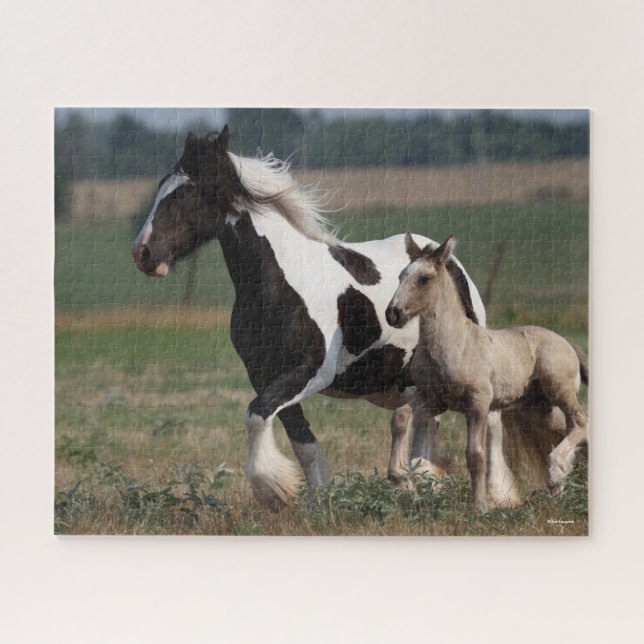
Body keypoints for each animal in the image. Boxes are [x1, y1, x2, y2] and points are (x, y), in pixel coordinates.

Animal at [132, 126, 521, 509]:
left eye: (187, 191)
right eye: (162, 185)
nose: (142, 253)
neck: (279, 283)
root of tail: (442, 256)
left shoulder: (312, 371)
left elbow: (256, 415)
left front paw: (273, 490)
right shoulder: (264, 375)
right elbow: (301, 443)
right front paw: (319, 502)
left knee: (491, 424)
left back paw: (496, 495)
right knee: (427, 424)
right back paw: (421, 484)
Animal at [386, 233, 589, 512]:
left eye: (423, 279)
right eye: (400, 276)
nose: (392, 314)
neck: (455, 343)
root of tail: (566, 342)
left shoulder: (478, 403)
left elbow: (475, 455)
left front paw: (480, 506)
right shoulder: (432, 401)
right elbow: (402, 418)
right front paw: (403, 480)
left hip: (559, 391)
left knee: (581, 422)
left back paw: (556, 471)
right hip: (540, 410)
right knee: (579, 429)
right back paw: (562, 487)